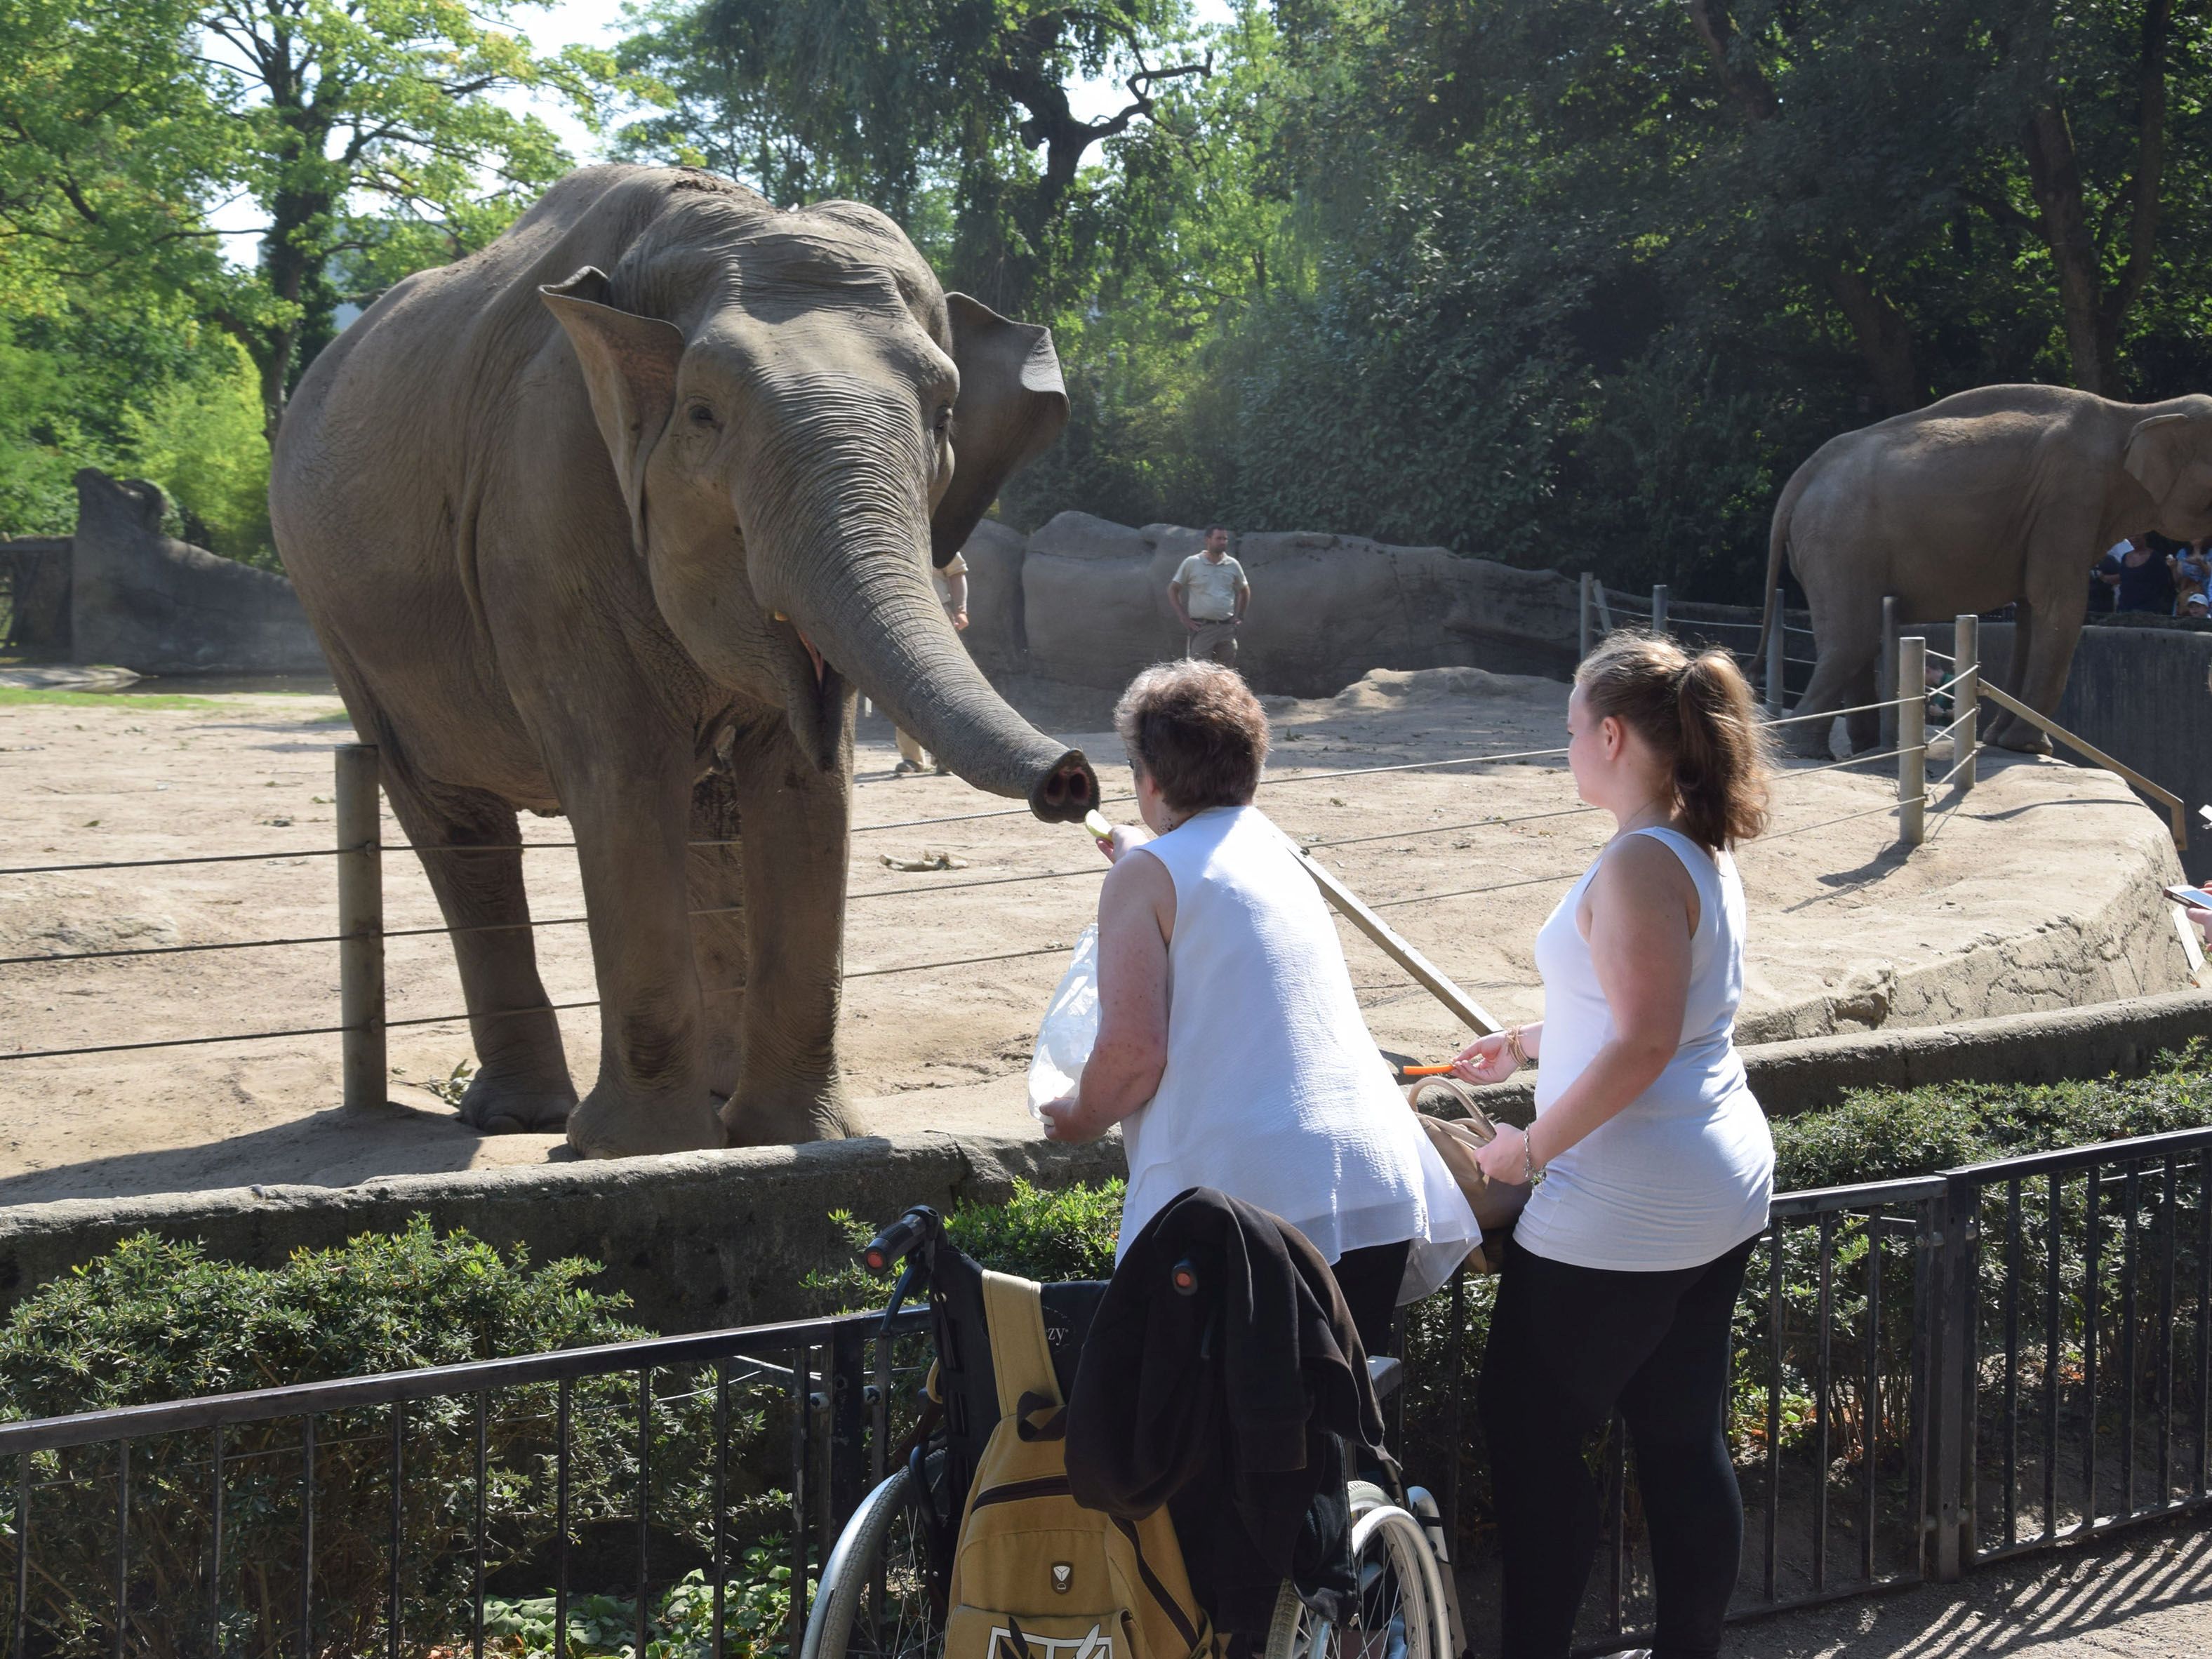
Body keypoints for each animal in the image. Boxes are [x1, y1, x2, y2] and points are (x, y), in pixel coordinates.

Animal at [272, 166, 1101, 1159]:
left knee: (707, 815)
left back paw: (713, 1100)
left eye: (942, 419)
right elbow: (622, 774)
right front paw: (633, 1152)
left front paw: (793, 1136)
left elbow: (803, 784)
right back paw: (529, 1117)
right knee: (456, 823)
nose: (1073, 778)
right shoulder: (542, 512)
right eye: (703, 416)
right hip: (345, 626)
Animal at [1760, 387, 2212, 756]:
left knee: (1853, 637)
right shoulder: (2072, 497)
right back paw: (1807, 753)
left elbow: (2031, 610)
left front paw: (2002, 742)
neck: (2137, 413)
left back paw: (1860, 748)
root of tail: (1799, 479)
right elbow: (2057, 603)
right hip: (1839, 541)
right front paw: (2031, 748)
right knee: (1853, 638)